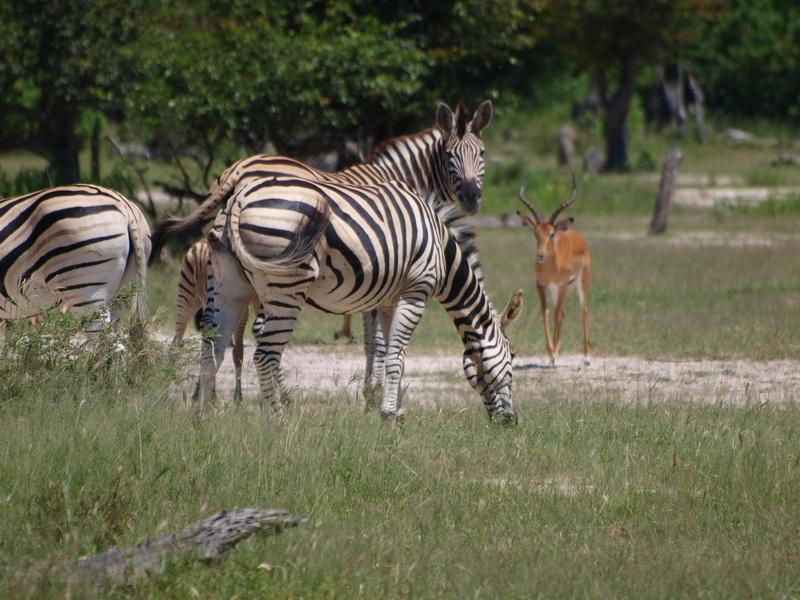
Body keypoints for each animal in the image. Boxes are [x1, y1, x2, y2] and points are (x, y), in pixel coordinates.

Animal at [152, 101, 494, 400]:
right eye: (449, 155)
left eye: (481, 152)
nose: (472, 197)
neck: (399, 178)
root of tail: (237, 169)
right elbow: (376, 338)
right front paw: (373, 392)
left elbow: (370, 335)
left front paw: (370, 390)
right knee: (256, 330)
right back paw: (278, 397)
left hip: (224, 260)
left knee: (216, 326)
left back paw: (207, 397)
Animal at [200, 176, 524, 424]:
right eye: (513, 356)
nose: (510, 422)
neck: (441, 249)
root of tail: (239, 197)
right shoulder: (415, 292)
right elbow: (396, 356)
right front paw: (390, 416)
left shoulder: (390, 301)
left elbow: (394, 355)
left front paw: (396, 412)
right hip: (286, 288)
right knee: (265, 355)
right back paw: (278, 423)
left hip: (231, 286)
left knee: (212, 349)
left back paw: (202, 419)